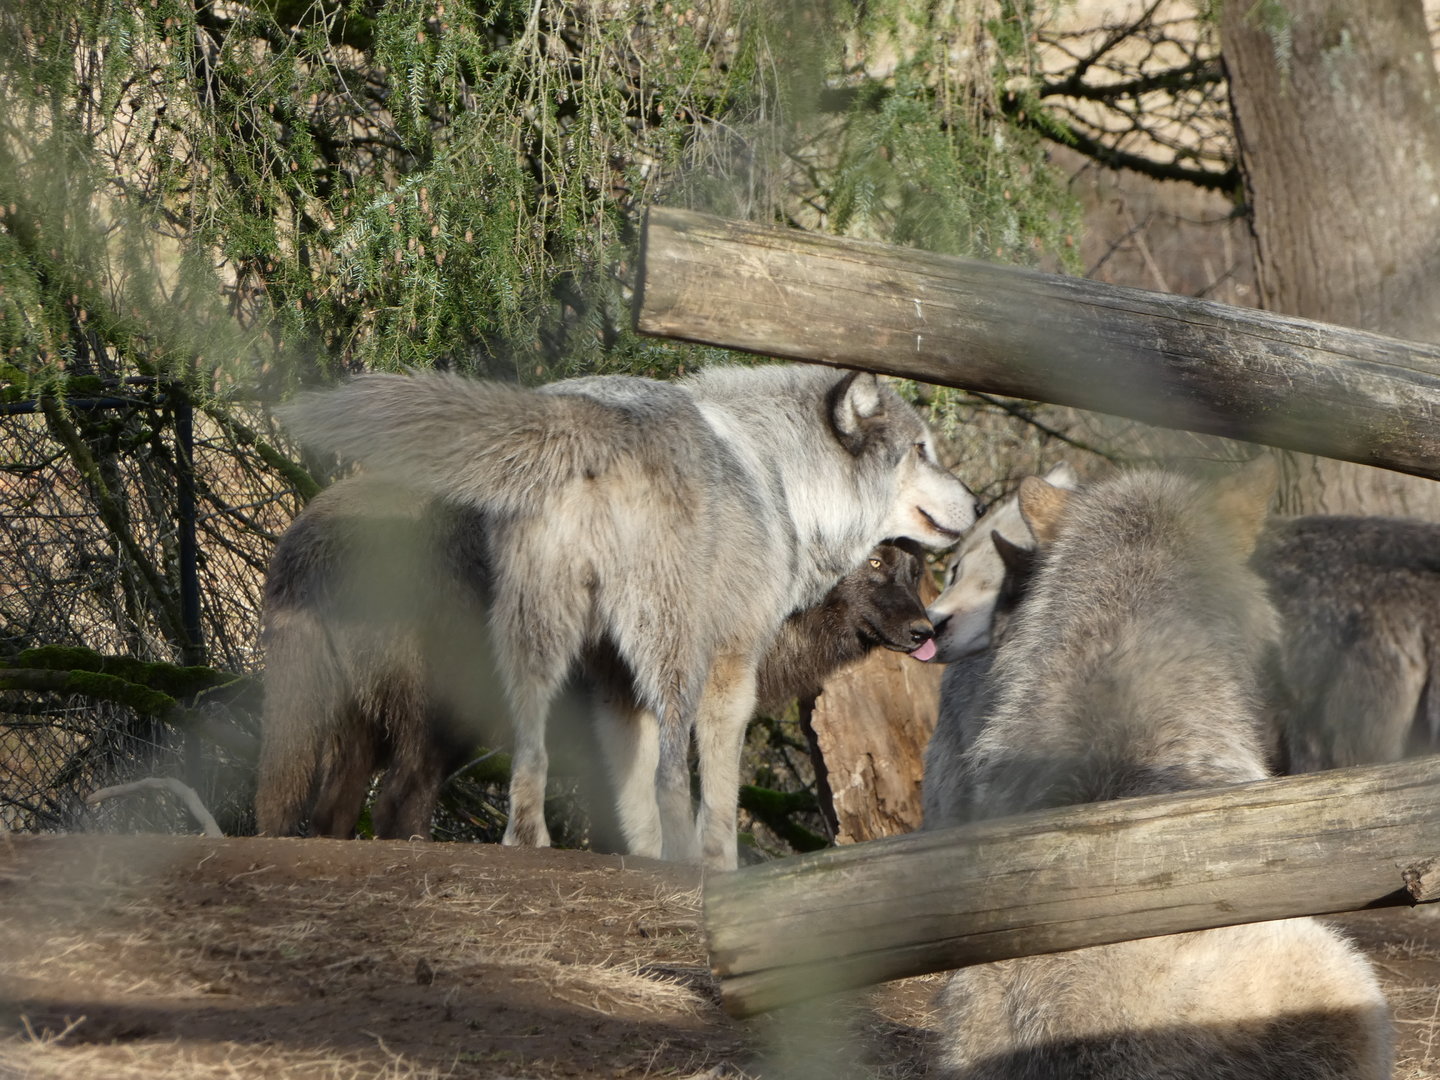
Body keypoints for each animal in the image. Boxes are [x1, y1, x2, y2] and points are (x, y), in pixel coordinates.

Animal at [276, 363, 976, 869]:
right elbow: (711, 790)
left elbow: (631, 796)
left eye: (912, 573)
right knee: (404, 800)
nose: (926, 632)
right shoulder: (730, 670)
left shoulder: (613, 684)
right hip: (513, 701)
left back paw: (526, 844)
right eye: (921, 449)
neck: (786, 483)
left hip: (516, 658)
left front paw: (646, 859)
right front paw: (711, 863)